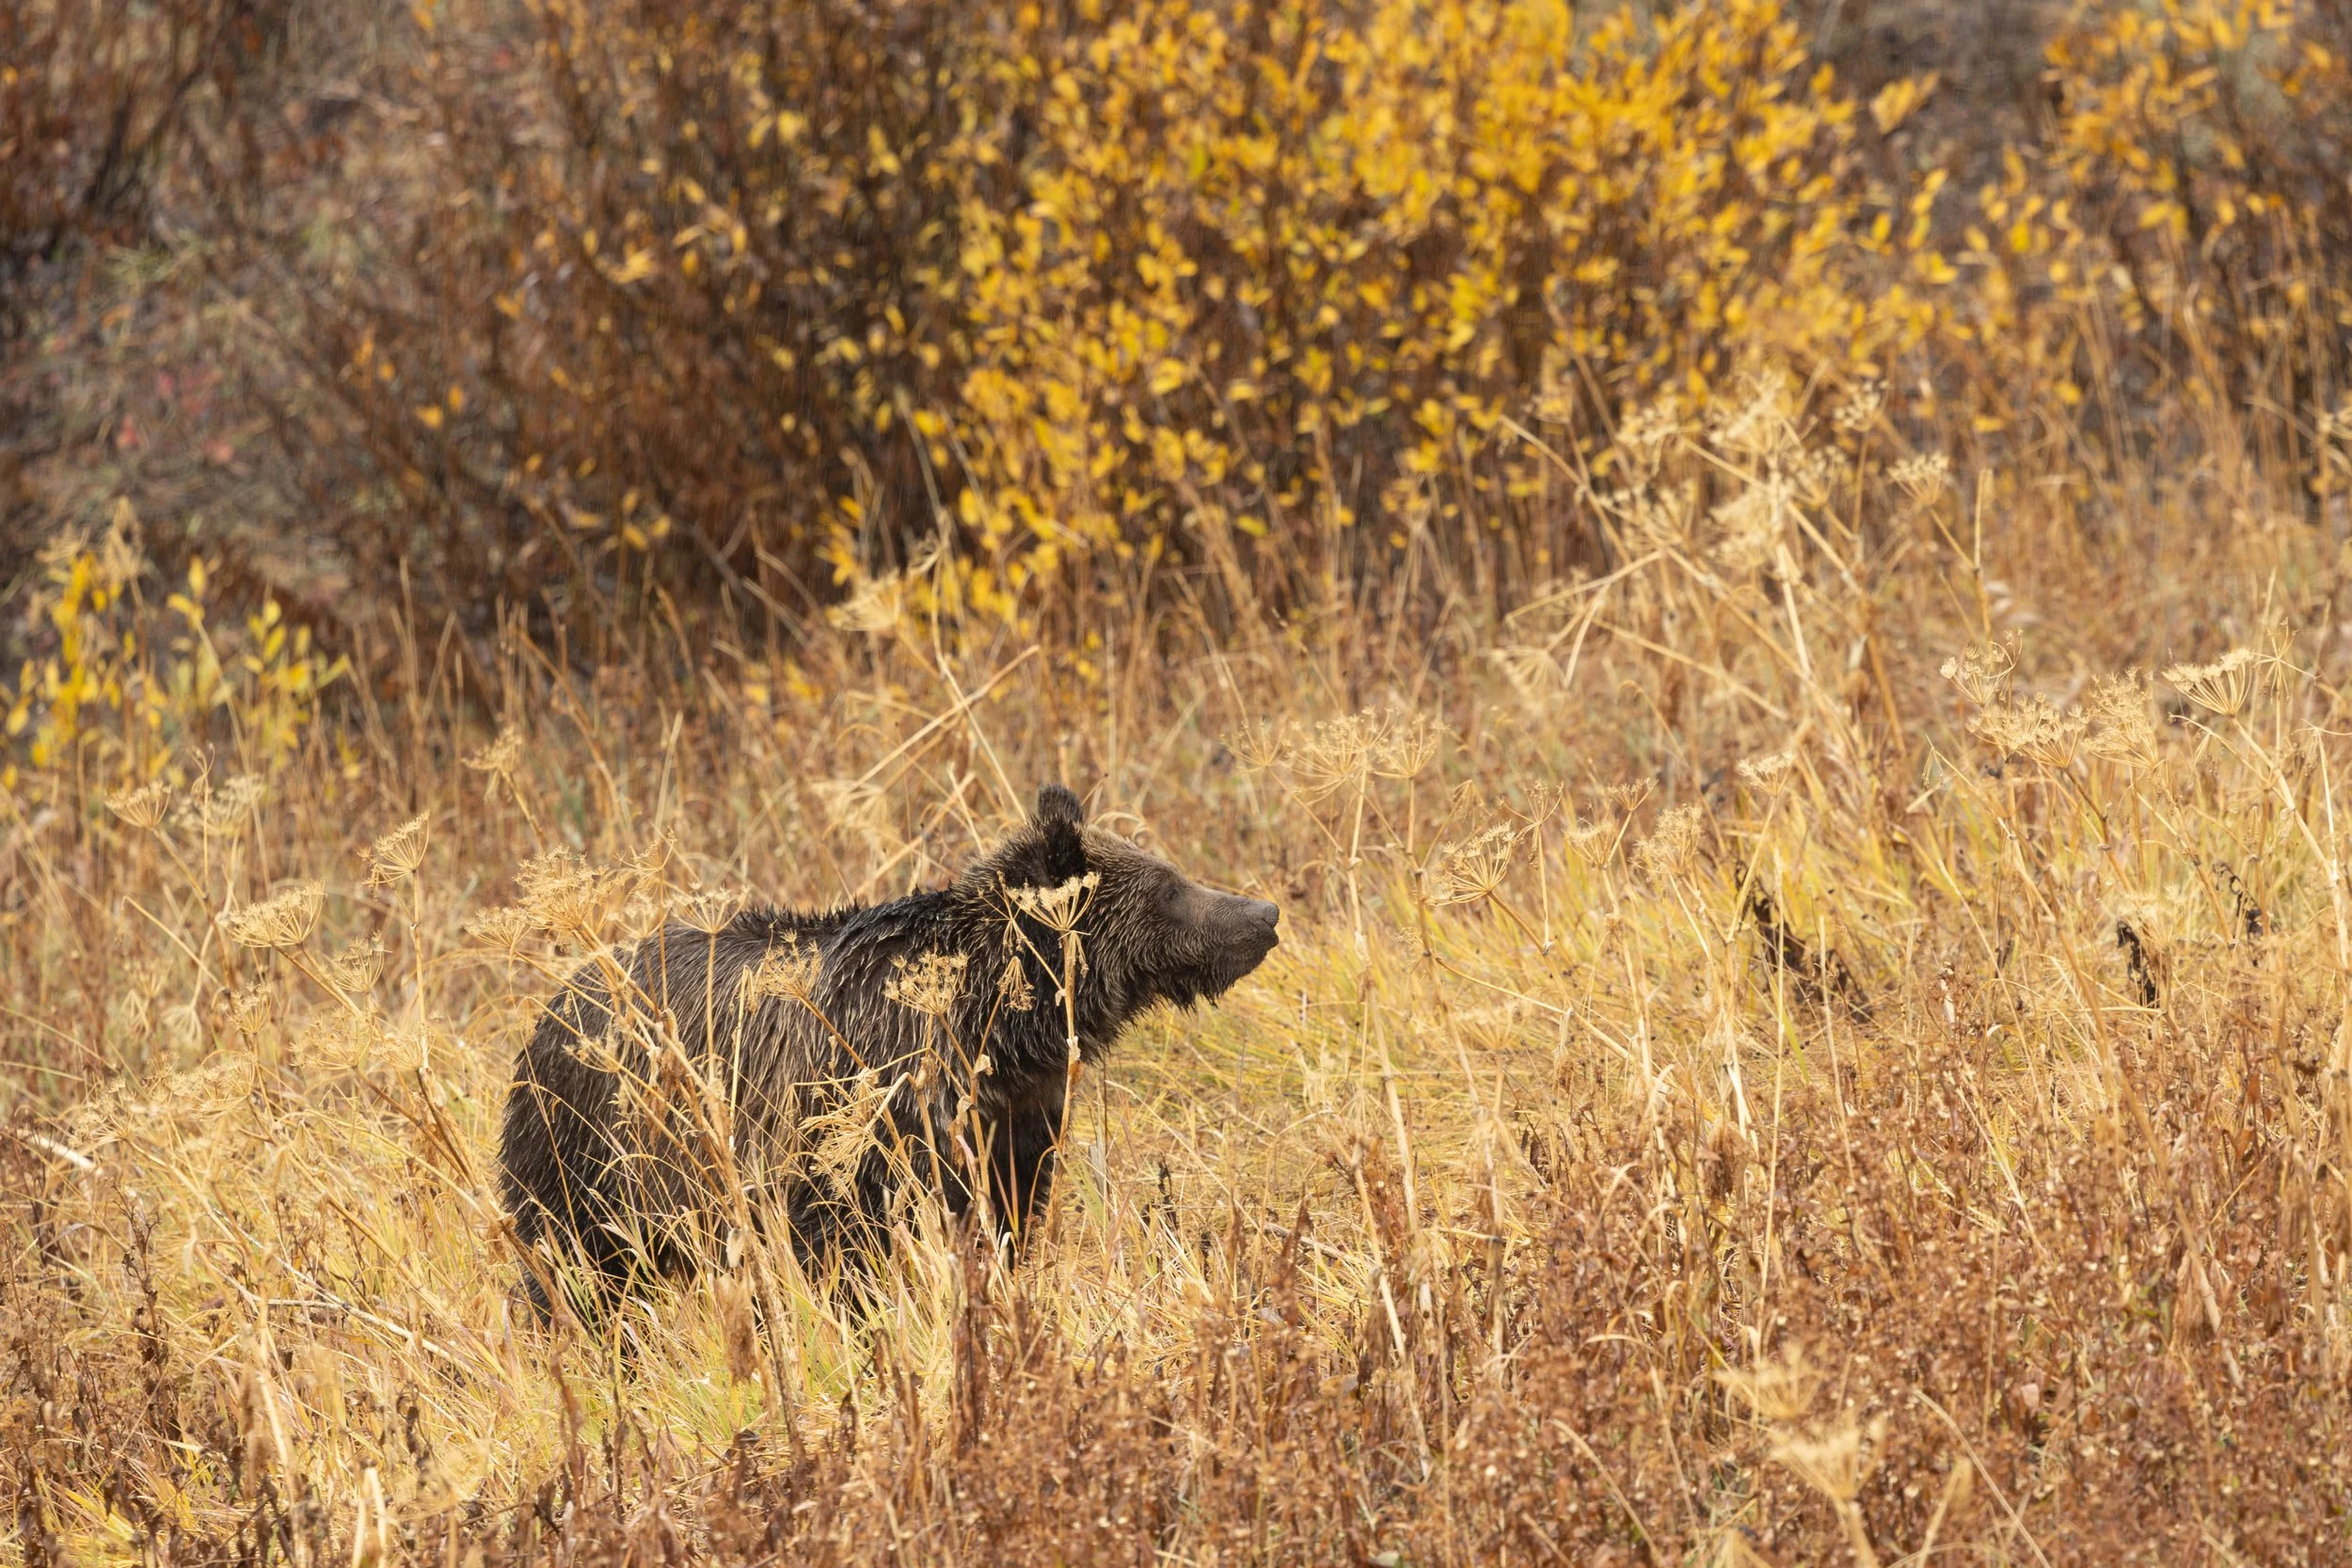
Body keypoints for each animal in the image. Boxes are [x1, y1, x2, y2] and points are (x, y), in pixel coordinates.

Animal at [498, 783, 1279, 1308]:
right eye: (1170, 887)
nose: (1264, 912)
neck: (996, 1031)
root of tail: (549, 1006)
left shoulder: (1013, 1127)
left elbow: (1003, 1222)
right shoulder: (857, 1119)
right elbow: (847, 1254)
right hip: (588, 1155)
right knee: (571, 1273)